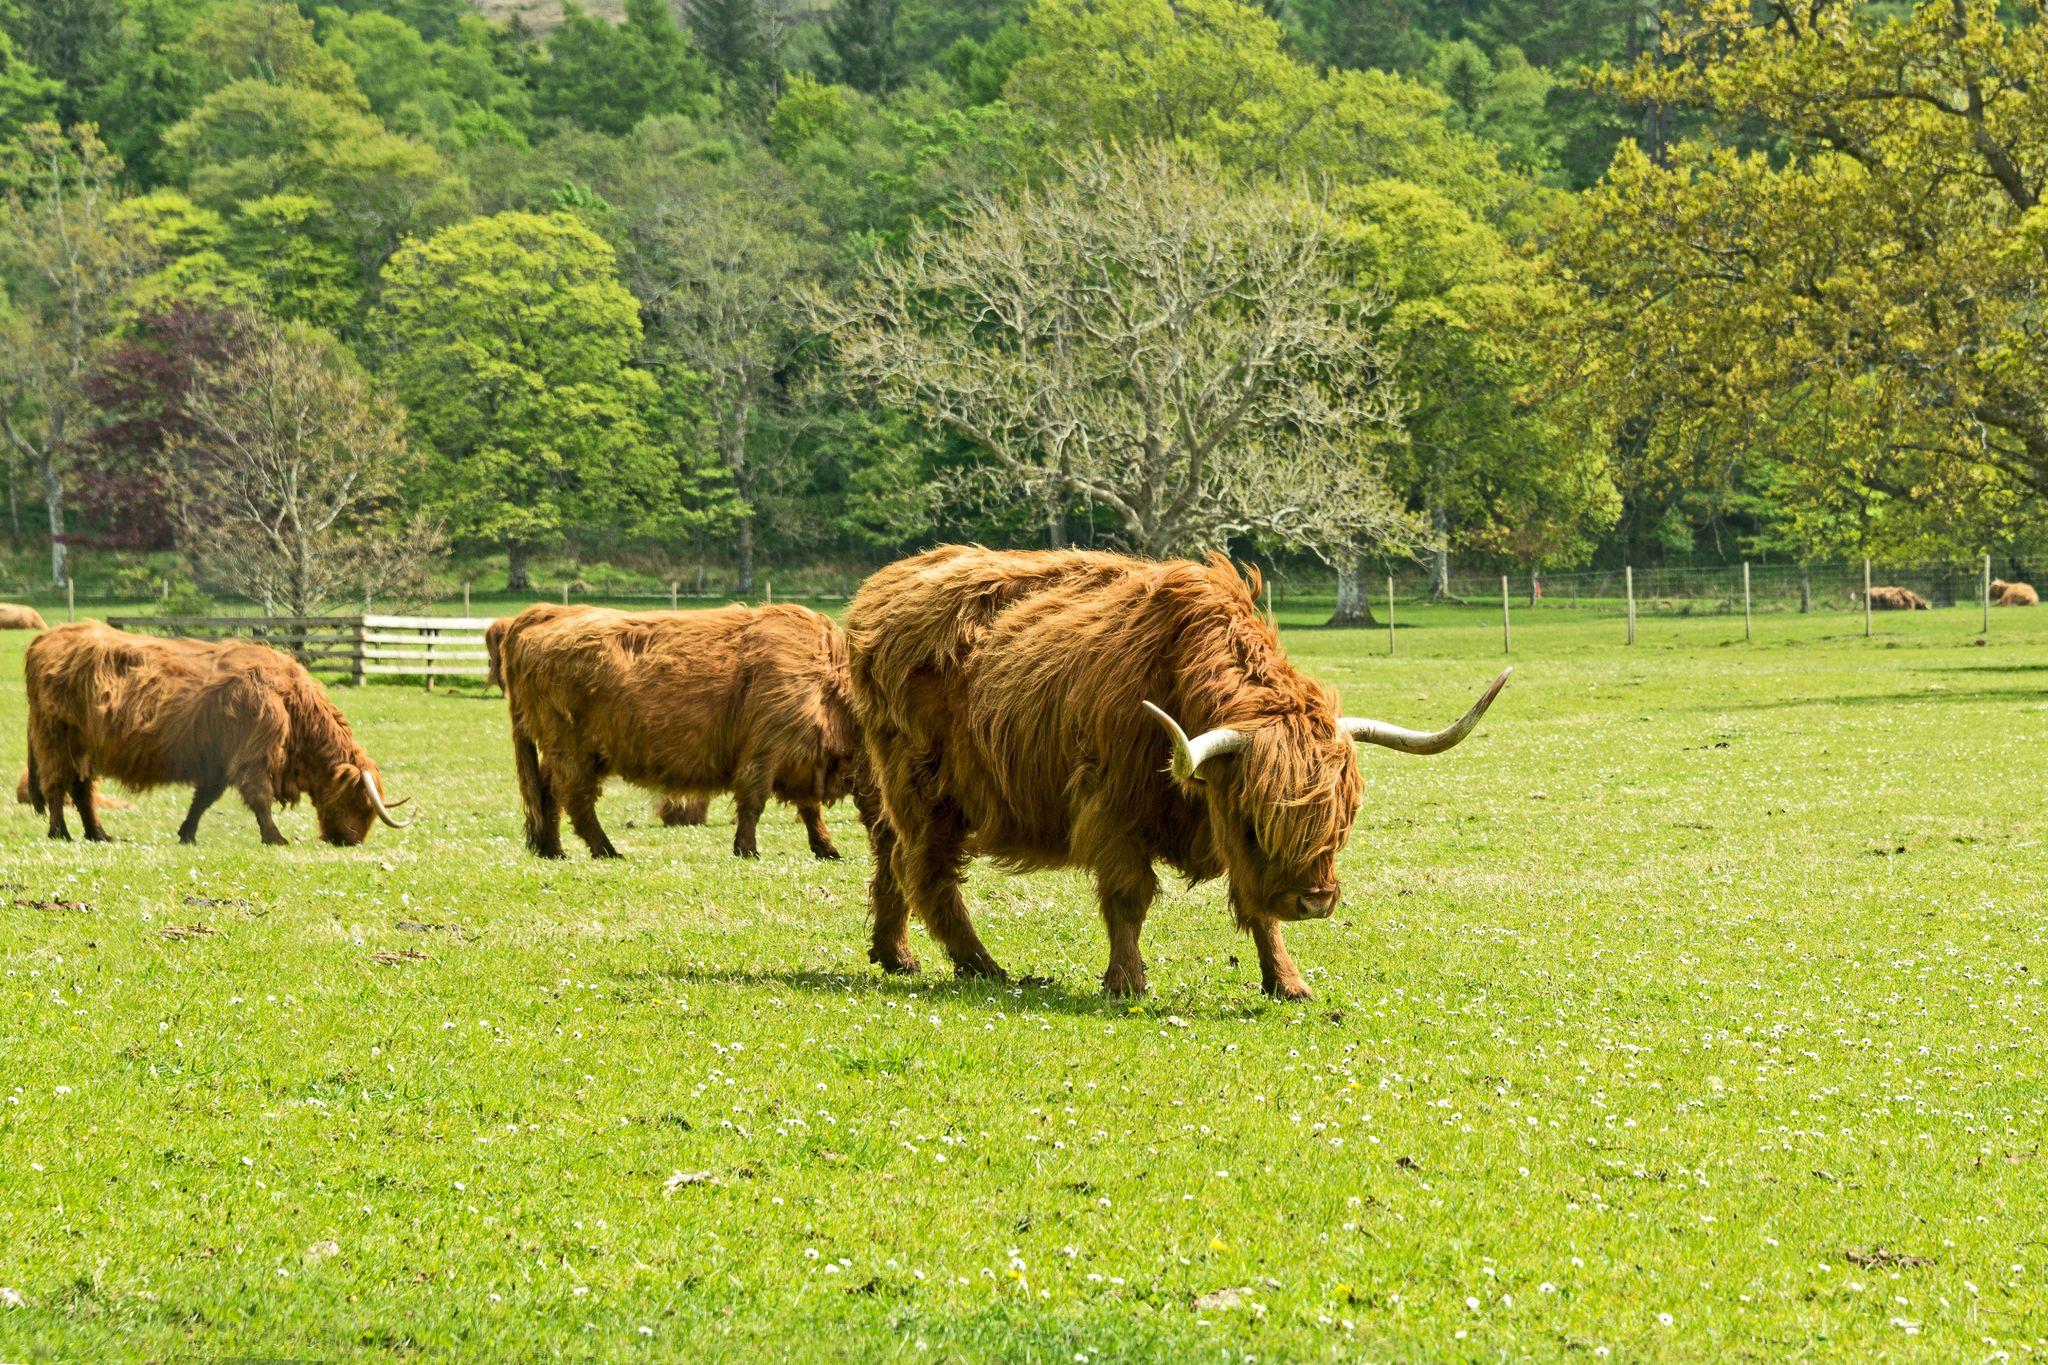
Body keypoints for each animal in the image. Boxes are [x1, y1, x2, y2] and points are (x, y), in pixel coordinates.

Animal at [24, 622, 411, 843]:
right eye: (360, 803)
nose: (351, 840)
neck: (293, 704)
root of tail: (45, 637)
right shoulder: (254, 753)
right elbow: (259, 796)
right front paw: (275, 837)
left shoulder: (220, 761)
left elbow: (204, 798)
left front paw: (186, 834)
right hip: (55, 737)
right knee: (57, 785)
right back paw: (61, 833)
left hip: (85, 745)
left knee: (82, 788)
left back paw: (98, 834)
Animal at [493, 601, 864, 859]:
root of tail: (547, 613)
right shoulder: (765, 751)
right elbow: (754, 802)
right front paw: (747, 849)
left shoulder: (805, 759)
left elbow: (810, 810)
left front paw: (827, 849)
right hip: (570, 749)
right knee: (575, 798)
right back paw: (606, 850)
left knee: (547, 792)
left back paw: (552, 850)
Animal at [843, 544, 1507, 1002]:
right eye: (1260, 824)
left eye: (1340, 822)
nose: (1316, 899)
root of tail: (879, 592)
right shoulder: (1113, 809)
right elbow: (1129, 897)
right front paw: (1127, 982)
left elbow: (1257, 906)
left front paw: (1288, 983)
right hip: (924, 788)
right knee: (927, 872)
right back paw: (985, 966)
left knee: (889, 856)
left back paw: (894, 954)